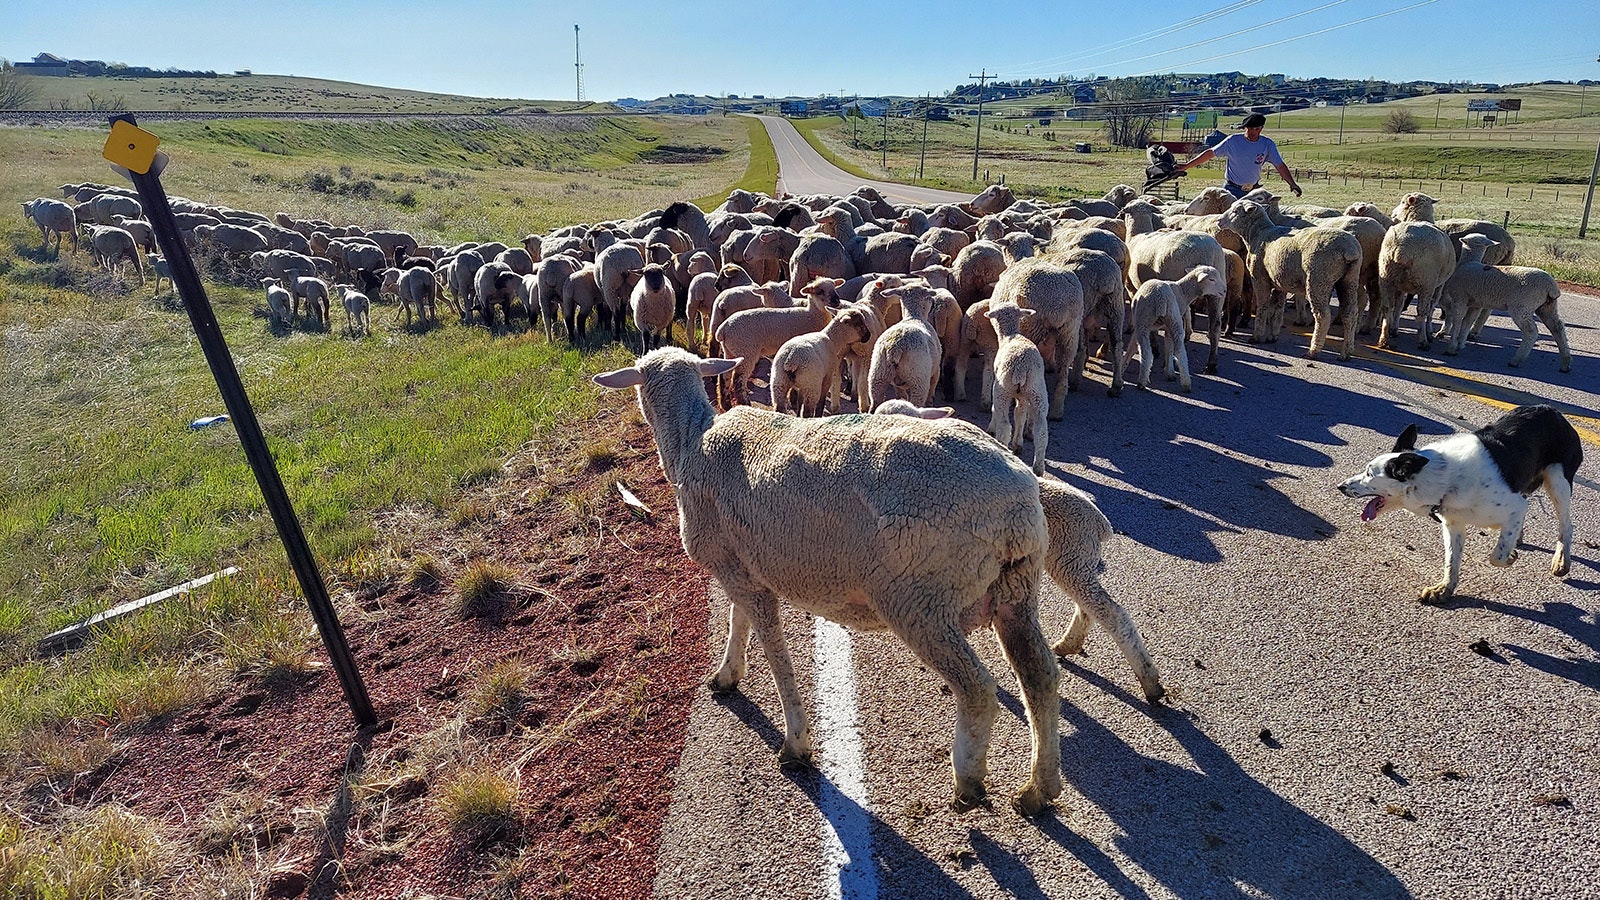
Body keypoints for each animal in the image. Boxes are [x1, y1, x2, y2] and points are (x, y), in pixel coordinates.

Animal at [592, 347, 1063, 815]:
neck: (692, 441)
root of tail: (1016, 505)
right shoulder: (740, 564)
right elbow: (736, 620)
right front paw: (727, 674)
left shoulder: (745, 575)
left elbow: (774, 655)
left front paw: (795, 743)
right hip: (1015, 591)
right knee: (1041, 677)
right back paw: (1039, 788)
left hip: (919, 599)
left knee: (978, 689)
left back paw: (968, 778)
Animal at [983, 304, 1050, 475]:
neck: (1010, 335)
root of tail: (1022, 366)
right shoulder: (1023, 396)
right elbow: (1020, 414)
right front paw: (1018, 444)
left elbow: (997, 410)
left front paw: (991, 429)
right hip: (1037, 390)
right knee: (1041, 430)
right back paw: (1038, 468)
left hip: (1003, 388)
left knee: (1005, 424)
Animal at [1215, 200, 1363, 359]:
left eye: (1236, 211)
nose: (1219, 220)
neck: (1258, 234)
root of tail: (1349, 250)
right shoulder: (1279, 280)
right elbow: (1279, 307)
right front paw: (1273, 335)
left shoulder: (1260, 278)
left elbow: (1263, 306)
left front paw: (1257, 336)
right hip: (1349, 279)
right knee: (1350, 313)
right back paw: (1347, 351)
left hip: (1318, 279)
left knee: (1323, 316)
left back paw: (1313, 350)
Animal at [1437, 235, 1570, 371]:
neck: (1468, 262)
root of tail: (1551, 287)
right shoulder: (1475, 304)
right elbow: (1467, 322)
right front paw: (1461, 344)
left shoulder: (1460, 298)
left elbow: (1458, 320)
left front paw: (1452, 347)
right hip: (1547, 307)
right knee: (1557, 328)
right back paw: (1565, 363)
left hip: (1522, 306)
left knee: (1531, 332)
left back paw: (1516, 360)